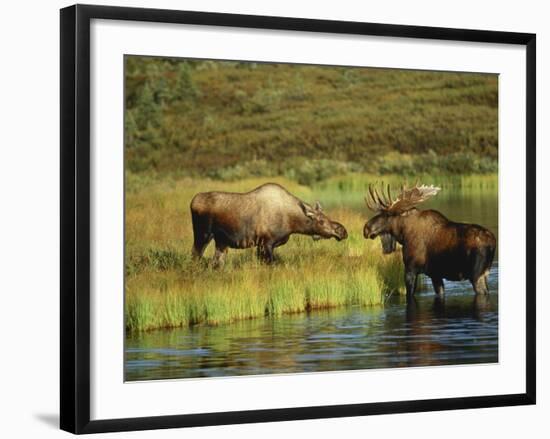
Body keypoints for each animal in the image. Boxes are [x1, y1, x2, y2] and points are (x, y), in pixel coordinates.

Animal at [192, 183, 348, 266]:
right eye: (321, 221)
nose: (342, 231)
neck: (292, 223)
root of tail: (192, 202)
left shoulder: (262, 245)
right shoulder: (266, 243)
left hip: (221, 242)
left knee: (215, 263)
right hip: (203, 235)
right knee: (195, 256)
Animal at [364, 182, 498, 300]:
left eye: (386, 214)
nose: (366, 228)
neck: (402, 235)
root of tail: (493, 242)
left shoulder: (410, 269)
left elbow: (409, 295)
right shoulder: (435, 274)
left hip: (477, 275)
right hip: (485, 272)